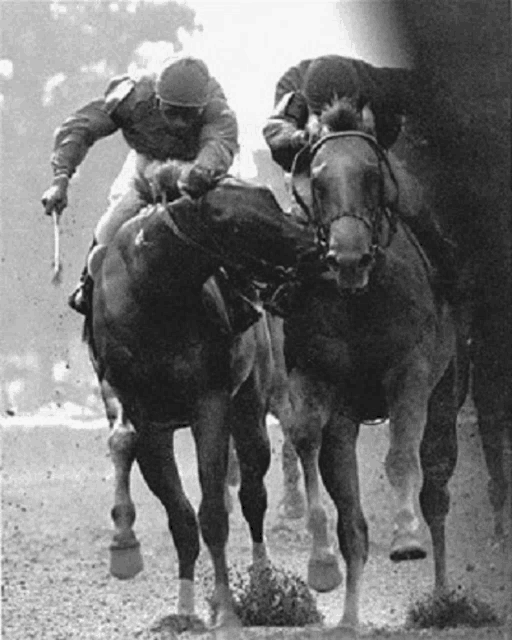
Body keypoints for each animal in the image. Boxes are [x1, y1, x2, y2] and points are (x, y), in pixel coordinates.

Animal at [83, 175, 316, 632]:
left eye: (269, 200)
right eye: (234, 223)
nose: (313, 245)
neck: (152, 292)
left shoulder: (210, 404)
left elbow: (213, 515)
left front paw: (225, 608)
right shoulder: (145, 418)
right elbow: (181, 518)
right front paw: (182, 606)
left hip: (251, 405)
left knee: (253, 494)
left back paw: (263, 583)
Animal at [282, 100, 470, 636]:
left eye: (371, 174)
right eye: (317, 179)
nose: (347, 257)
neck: (359, 299)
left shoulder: (410, 370)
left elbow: (402, 455)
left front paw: (405, 537)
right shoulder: (317, 379)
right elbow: (307, 440)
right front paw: (321, 563)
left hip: (448, 389)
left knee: (437, 489)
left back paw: (442, 599)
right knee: (354, 523)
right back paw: (348, 616)